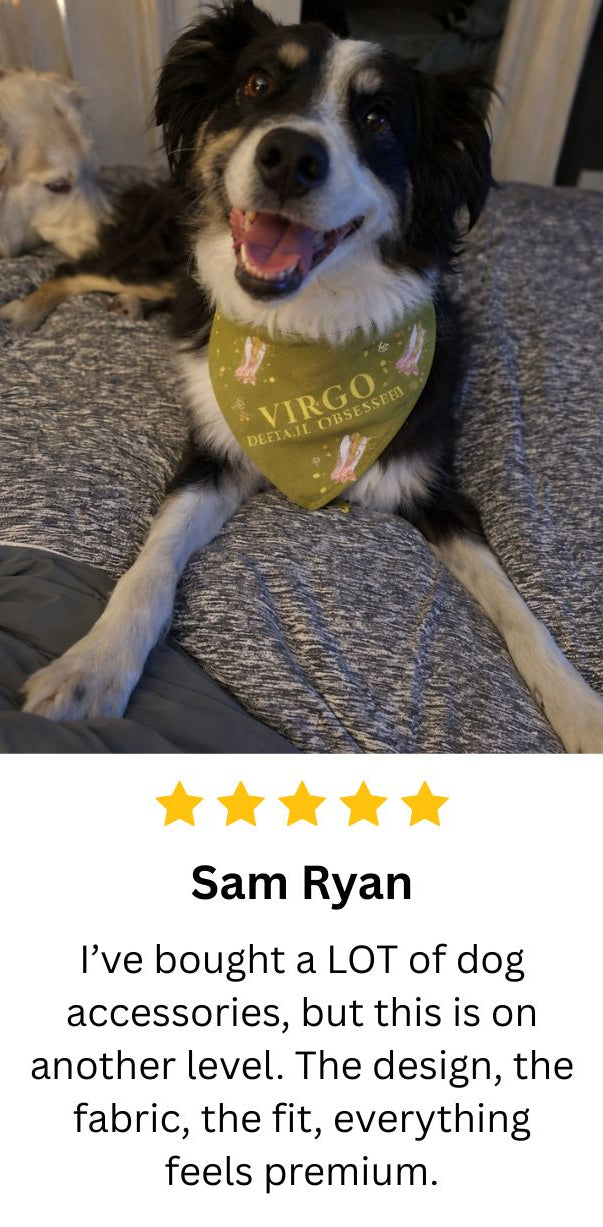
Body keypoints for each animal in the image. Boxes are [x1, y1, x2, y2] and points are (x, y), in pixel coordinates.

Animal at [20, 0, 603, 751]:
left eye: (379, 119)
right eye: (258, 84)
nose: (290, 157)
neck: (312, 330)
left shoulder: (437, 490)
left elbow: (519, 611)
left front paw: (581, 711)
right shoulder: (213, 454)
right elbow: (151, 564)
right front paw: (93, 663)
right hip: (159, 260)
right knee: (73, 270)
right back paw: (20, 312)